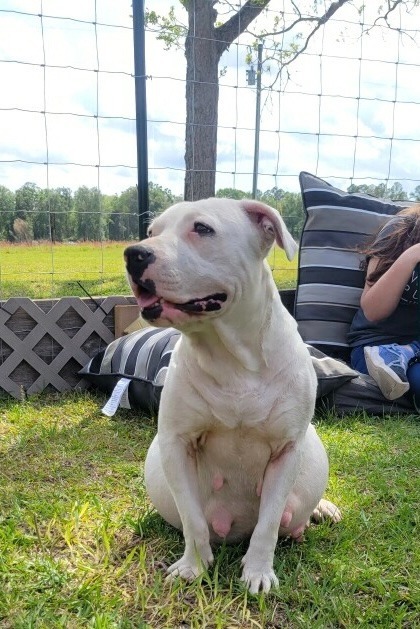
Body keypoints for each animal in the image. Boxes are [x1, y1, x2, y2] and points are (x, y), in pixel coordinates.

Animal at [123, 197, 340, 592]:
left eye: (202, 228)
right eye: (151, 231)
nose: (134, 253)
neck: (230, 357)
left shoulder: (287, 451)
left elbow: (268, 523)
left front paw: (258, 572)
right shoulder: (176, 444)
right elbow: (193, 519)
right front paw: (193, 565)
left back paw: (322, 508)